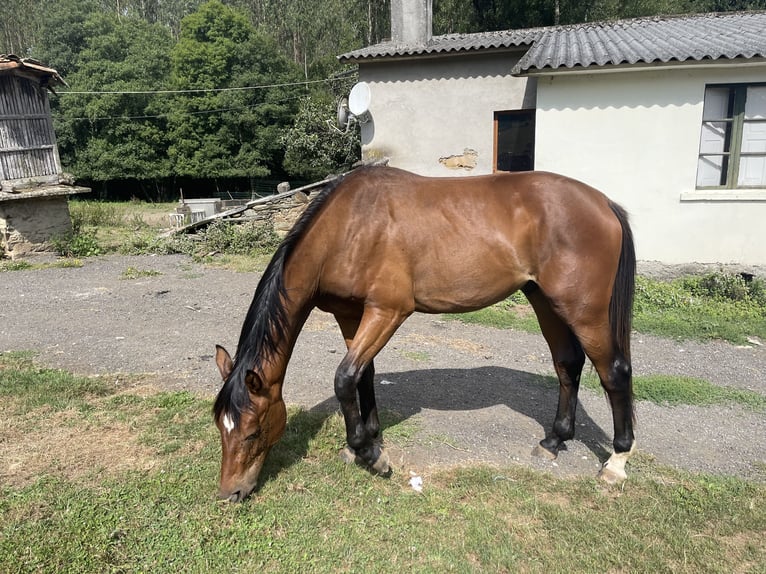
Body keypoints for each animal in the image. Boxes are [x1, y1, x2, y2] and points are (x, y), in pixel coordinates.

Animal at [214, 166, 636, 504]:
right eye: (221, 427)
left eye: (252, 432)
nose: (230, 493)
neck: (349, 226)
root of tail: (603, 202)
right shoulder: (350, 314)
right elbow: (362, 375)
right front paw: (366, 441)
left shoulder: (388, 311)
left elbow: (344, 377)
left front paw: (371, 456)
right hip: (545, 301)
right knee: (568, 364)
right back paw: (554, 441)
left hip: (584, 311)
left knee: (614, 372)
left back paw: (616, 463)